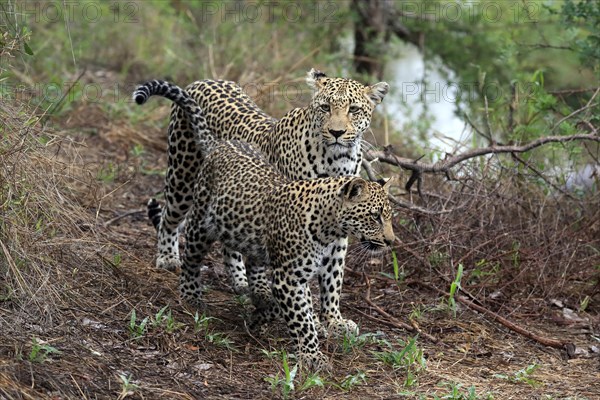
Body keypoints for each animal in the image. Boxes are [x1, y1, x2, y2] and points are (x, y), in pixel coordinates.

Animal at [134, 79, 394, 370]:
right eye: (325, 107)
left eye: (354, 109)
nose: (336, 132)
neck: (337, 162)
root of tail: (203, 81)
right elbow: (302, 301)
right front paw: (313, 327)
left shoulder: (336, 237)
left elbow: (333, 278)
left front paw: (333, 320)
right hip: (183, 178)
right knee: (170, 220)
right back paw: (170, 260)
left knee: (233, 246)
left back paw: (245, 283)